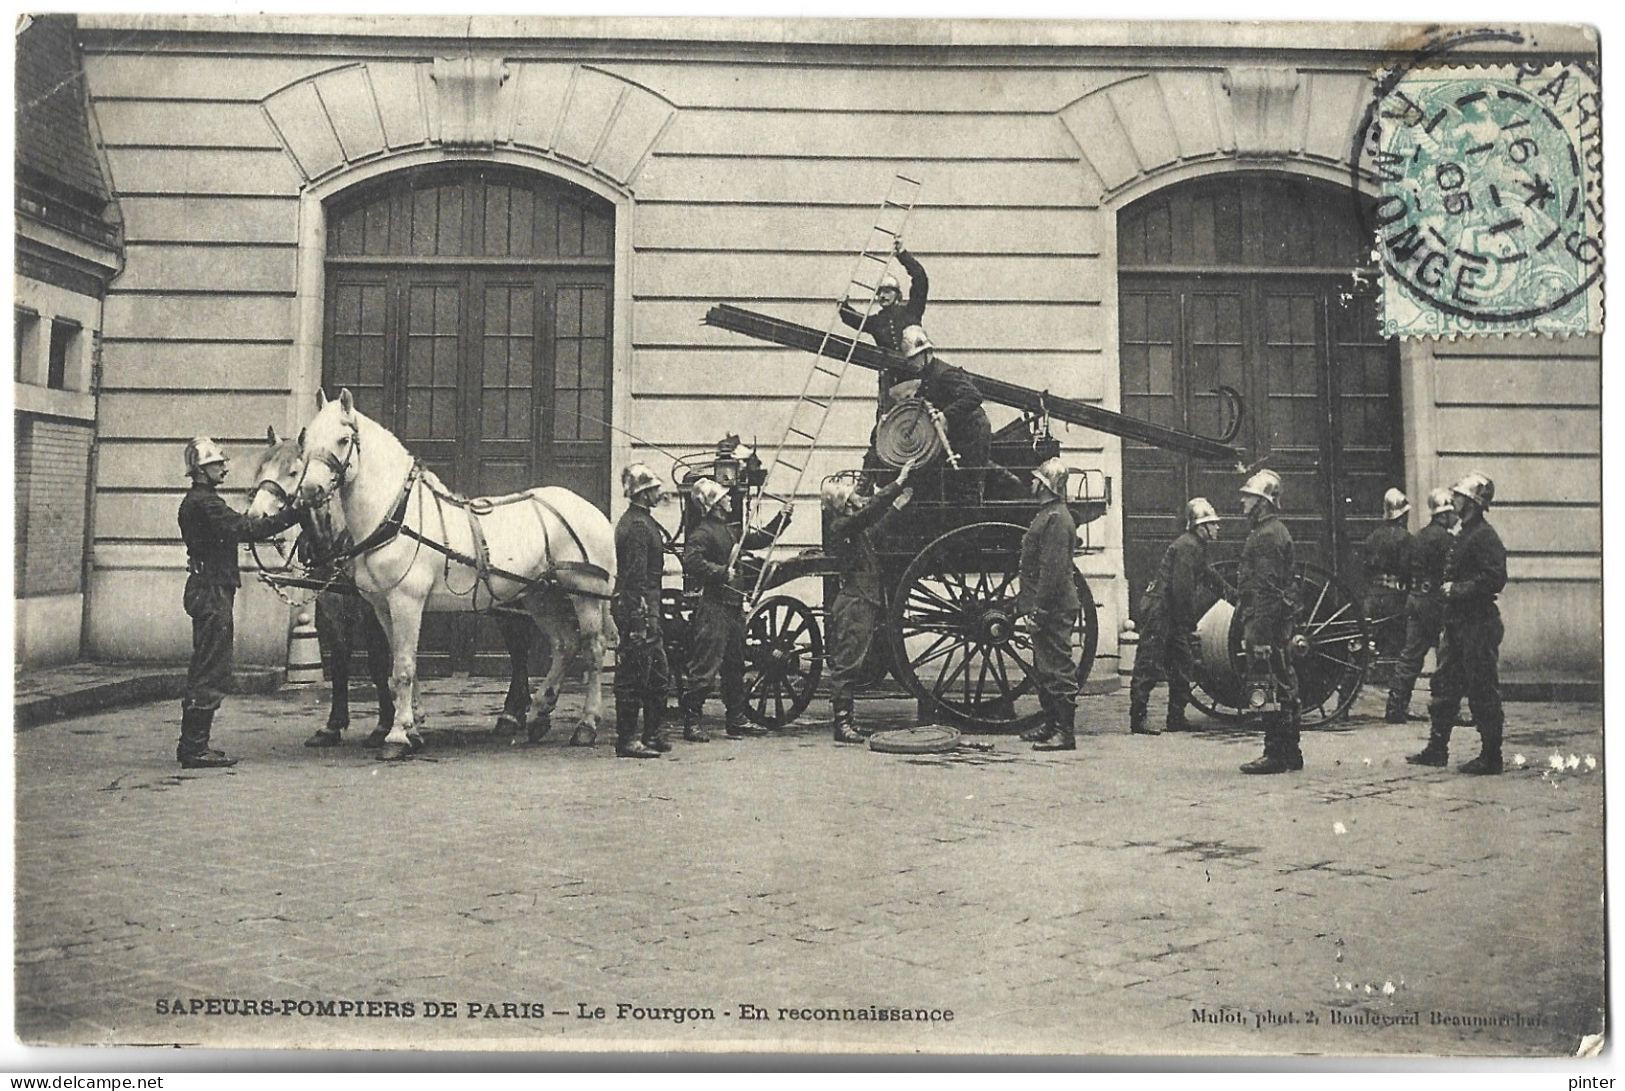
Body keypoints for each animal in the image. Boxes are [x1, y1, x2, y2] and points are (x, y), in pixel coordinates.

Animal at [295, 390, 617, 760]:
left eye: (343, 439)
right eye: (305, 440)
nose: (310, 491)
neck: (398, 516)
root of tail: (592, 510)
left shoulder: (406, 601)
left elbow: (403, 668)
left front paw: (396, 737)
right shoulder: (381, 606)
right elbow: (399, 667)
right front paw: (412, 727)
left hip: (585, 592)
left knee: (593, 649)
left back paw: (586, 725)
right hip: (541, 596)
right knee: (564, 644)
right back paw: (538, 715)